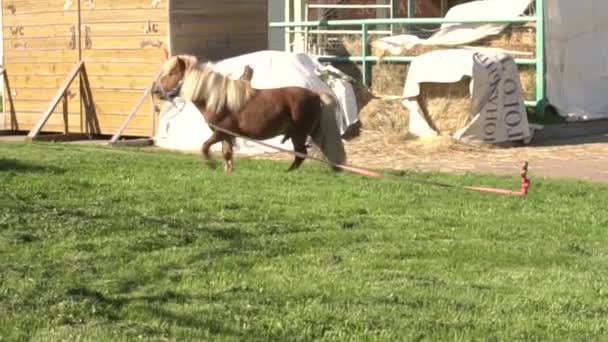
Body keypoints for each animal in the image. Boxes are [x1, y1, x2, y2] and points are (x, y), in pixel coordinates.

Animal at [153, 54, 346, 172]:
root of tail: (315, 95)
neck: (217, 98)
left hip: (299, 134)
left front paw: (211, 164)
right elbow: (227, 153)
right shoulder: (226, 135)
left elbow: (205, 146)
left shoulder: (220, 132)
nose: (155, 90)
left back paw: (289, 172)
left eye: (171, 73)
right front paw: (228, 171)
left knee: (301, 154)